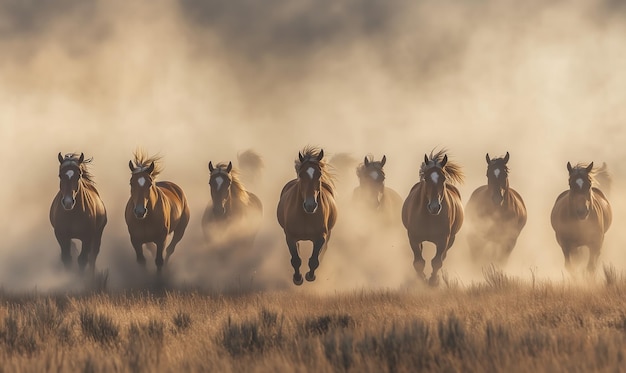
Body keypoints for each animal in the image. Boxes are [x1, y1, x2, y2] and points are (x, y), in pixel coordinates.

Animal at [276, 145, 336, 284]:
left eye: (319, 174)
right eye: (301, 174)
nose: (310, 205)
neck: (306, 216)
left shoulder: (321, 237)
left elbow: (314, 260)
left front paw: (310, 276)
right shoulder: (290, 237)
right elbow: (296, 260)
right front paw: (298, 279)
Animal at [400, 148, 464, 284]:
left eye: (443, 178)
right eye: (426, 178)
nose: (434, 207)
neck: (429, 217)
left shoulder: (443, 240)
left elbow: (437, 262)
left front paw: (433, 281)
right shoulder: (414, 238)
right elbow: (418, 263)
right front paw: (422, 279)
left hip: (451, 239)